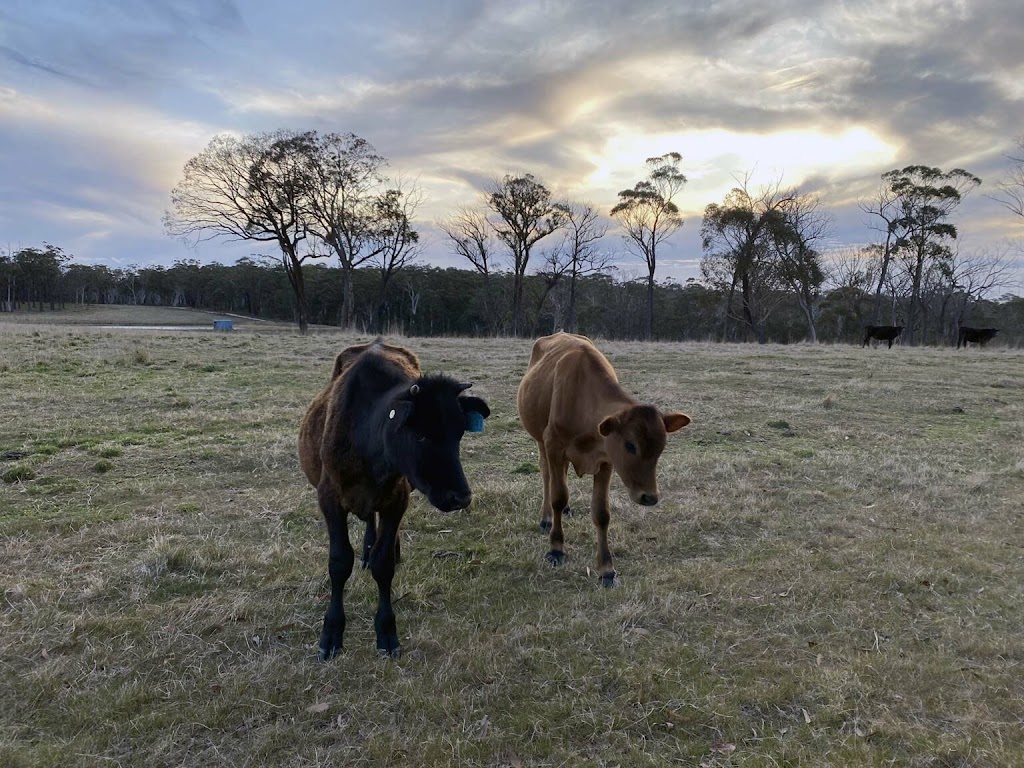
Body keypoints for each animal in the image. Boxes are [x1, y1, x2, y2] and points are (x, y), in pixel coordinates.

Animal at [298, 338, 490, 658]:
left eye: (459, 433)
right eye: (420, 434)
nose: (460, 497)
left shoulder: (397, 498)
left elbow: (383, 563)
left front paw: (386, 632)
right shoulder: (329, 498)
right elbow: (339, 563)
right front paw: (332, 633)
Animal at [516, 332, 690, 587]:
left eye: (661, 447)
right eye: (630, 445)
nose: (649, 497)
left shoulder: (606, 460)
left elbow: (601, 513)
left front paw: (607, 570)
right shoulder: (553, 445)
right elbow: (558, 496)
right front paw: (556, 549)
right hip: (540, 440)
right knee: (548, 476)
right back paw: (547, 518)